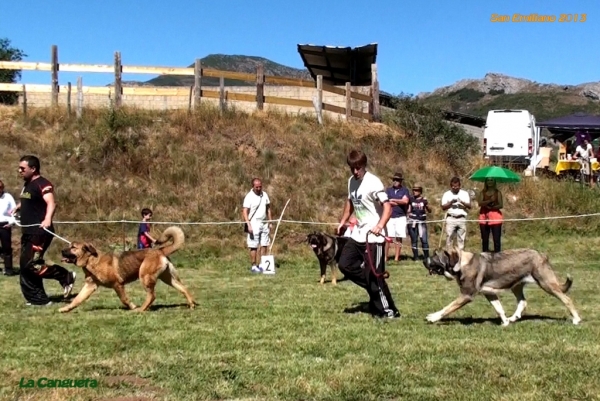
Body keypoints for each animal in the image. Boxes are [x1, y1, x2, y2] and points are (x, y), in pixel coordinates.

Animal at [58, 225, 196, 312]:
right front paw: (65, 309)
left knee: (152, 295)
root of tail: (160, 251)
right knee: (184, 288)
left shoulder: (117, 284)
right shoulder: (90, 286)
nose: (61, 251)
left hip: (145, 276)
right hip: (168, 278)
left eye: (73, 247)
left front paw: (133, 306)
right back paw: (191, 305)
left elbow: (124, 299)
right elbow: (76, 300)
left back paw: (140, 309)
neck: (92, 260)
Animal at [422, 247, 580, 324]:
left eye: (435, 255)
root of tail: (542, 255)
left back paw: (576, 319)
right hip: (516, 285)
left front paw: (433, 317)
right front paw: (505, 322)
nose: (423, 260)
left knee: (567, 299)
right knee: (522, 302)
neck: (461, 263)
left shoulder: (466, 295)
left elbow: (447, 308)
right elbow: (499, 309)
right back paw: (513, 318)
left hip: (546, 283)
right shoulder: (490, 293)